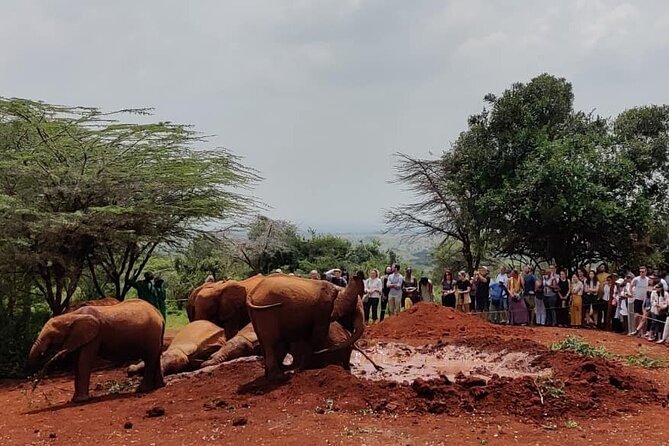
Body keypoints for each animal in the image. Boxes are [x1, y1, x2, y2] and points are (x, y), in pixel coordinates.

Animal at [27, 300, 165, 403]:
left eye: (51, 336)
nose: (33, 389)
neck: (71, 316)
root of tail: (159, 315)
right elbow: (77, 364)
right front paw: (75, 400)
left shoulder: (94, 337)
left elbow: (84, 362)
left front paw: (80, 401)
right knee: (156, 356)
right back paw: (159, 386)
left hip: (151, 333)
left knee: (150, 358)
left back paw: (142, 390)